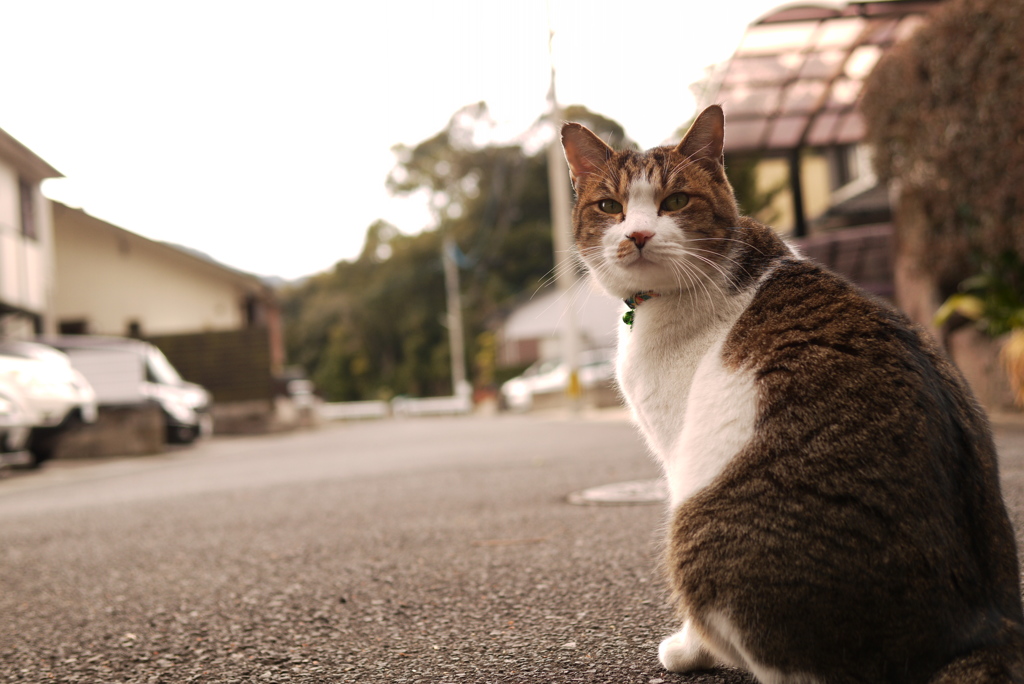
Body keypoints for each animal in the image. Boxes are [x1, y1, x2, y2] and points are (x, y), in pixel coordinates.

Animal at [561, 104, 1024, 679]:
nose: (640, 235)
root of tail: (979, 635)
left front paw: (687, 650)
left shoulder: (677, 450)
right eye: (610, 207)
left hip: (696, 521)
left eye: (675, 202)